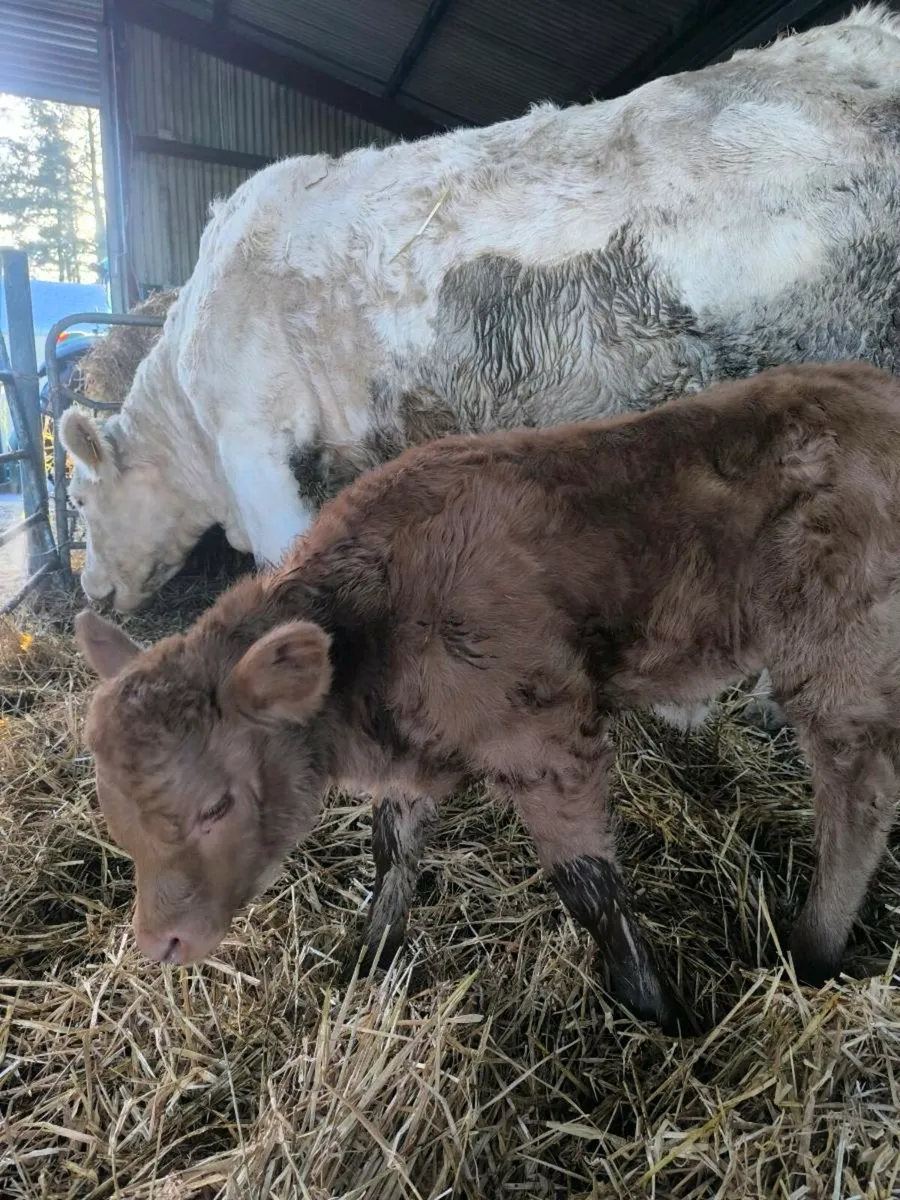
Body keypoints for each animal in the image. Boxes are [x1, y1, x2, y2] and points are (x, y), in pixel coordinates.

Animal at [75, 362, 900, 1032]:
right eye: (113, 809)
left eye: (217, 805)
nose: (159, 942)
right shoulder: (413, 757)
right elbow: (392, 851)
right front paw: (369, 960)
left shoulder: (545, 737)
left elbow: (590, 885)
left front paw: (657, 1013)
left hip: (836, 647)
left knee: (857, 795)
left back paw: (810, 949)